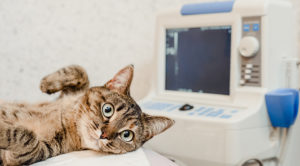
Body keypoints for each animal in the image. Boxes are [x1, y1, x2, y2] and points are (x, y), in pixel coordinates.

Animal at [0, 64, 175, 165]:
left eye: (127, 135)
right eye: (108, 109)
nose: (103, 135)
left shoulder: (37, 152)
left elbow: (26, 138)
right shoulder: (67, 96)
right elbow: (81, 72)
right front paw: (47, 83)